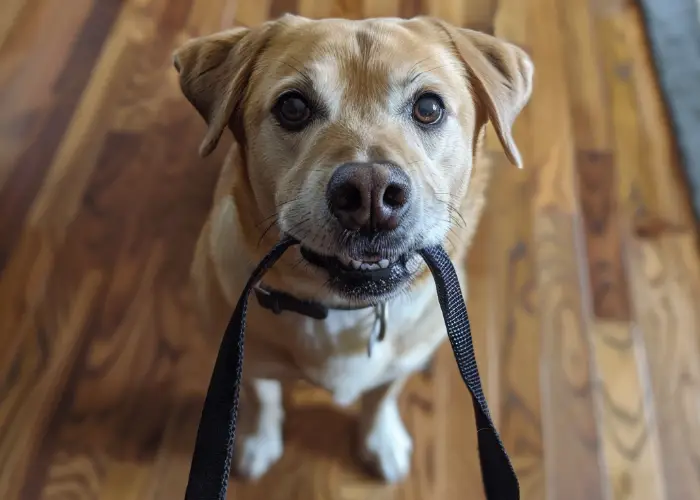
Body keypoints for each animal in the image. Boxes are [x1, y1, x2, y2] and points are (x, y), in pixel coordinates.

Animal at [172, 15, 532, 482]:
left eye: (429, 107)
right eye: (292, 107)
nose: (370, 194)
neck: (345, 309)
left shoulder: (401, 361)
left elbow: (381, 397)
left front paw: (382, 442)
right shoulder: (245, 360)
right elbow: (260, 399)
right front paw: (258, 442)